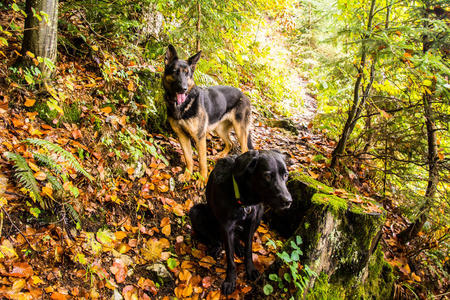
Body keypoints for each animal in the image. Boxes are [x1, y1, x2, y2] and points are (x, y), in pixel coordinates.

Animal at [162, 44, 253, 184]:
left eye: (188, 74)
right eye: (175, 72)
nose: (183, 88)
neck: (183, 105)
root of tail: (244, 95)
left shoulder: (200, 138)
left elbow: (202, 161)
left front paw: (202, 180)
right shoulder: (182, 136)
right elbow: (188, 158)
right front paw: (187, 175)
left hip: (240, 130)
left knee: (245, 149)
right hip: (220, 130)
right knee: (230, 143)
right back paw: (220, 155)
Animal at [189, 150, 292, 296]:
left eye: (286, 175)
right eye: (267, 176)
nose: (288, 201)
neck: (242, 198)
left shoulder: (251, 221)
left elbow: (249, 249)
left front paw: (250, 269)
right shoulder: (226, 227)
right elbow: (230, 258)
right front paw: (230, 280)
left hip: (260, 212)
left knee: (237, 239)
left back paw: (238, 247)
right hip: (195, 212)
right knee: (219, 241)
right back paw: (217, 248)